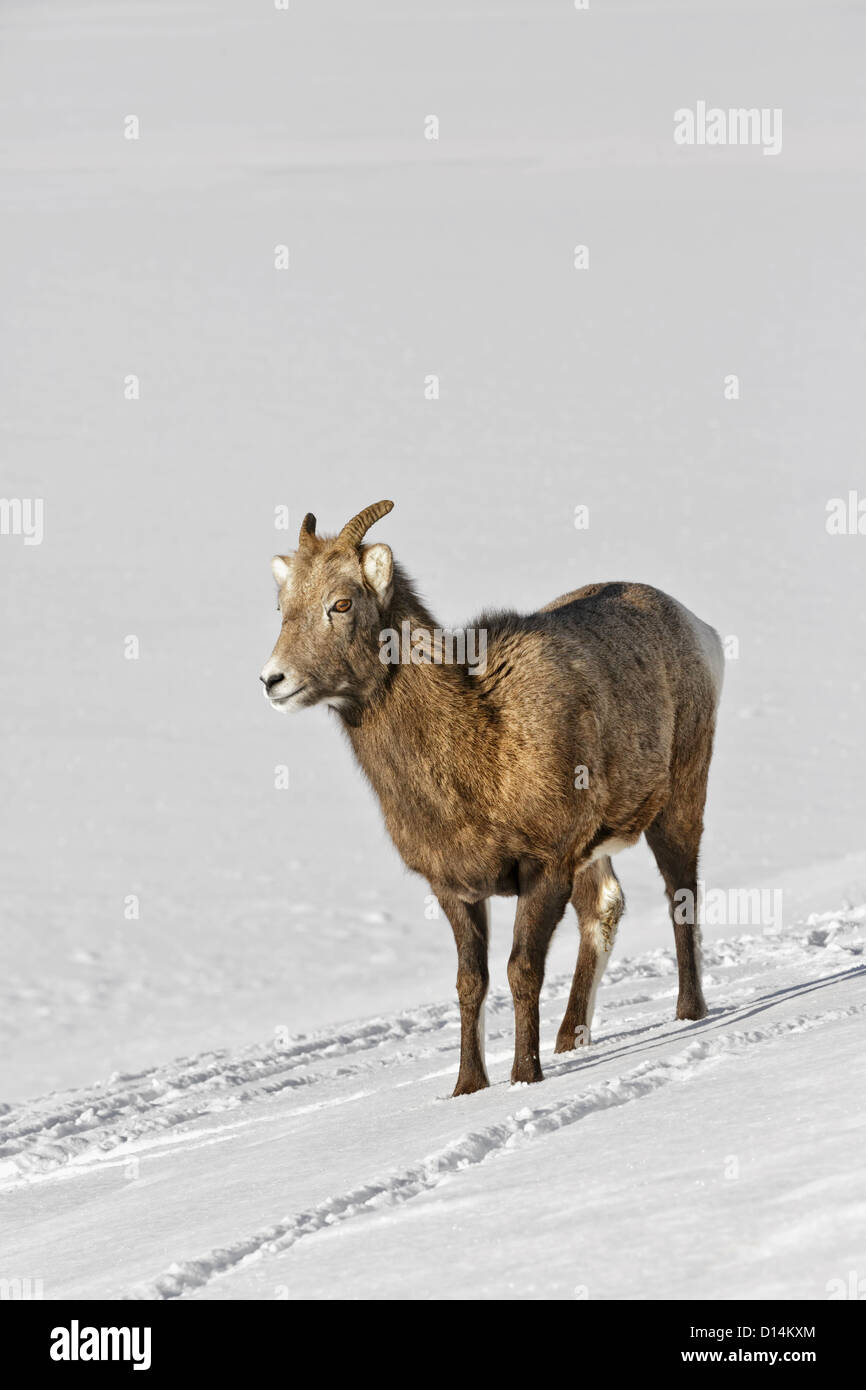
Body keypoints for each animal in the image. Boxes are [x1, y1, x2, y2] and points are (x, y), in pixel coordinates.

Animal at [262, 500, 722, 1095]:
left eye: (340, 603)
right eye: (283, 606)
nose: (274, 680)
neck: (477, 753)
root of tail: (701, 631)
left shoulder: (544, 866)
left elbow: (521, 970)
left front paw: (525, 1076)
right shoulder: (454, 887)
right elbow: (470, 982)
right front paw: (468, 1086)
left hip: (680, 802)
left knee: (680, 896)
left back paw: (689, 1013)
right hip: (595, 853)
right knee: (605, 906)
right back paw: (571, 1040)